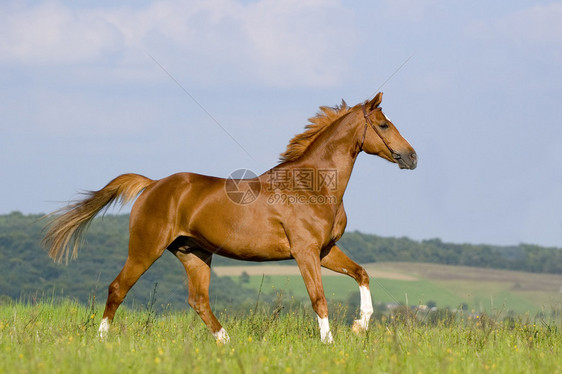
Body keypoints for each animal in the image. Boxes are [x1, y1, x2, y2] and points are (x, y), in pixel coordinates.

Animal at [42, 92, 416, 344]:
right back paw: (102, 339)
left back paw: (229, 343)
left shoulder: (325, 250)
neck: (311, 185)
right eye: (383, 125)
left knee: (198, 300)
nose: (412, 157)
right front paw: (330, 344)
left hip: (194, 253)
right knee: (118, 288)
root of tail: (152, 185)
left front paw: (360, 326)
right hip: (145, 248)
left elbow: (362, 273)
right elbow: (319, 298)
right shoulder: (305, 251)